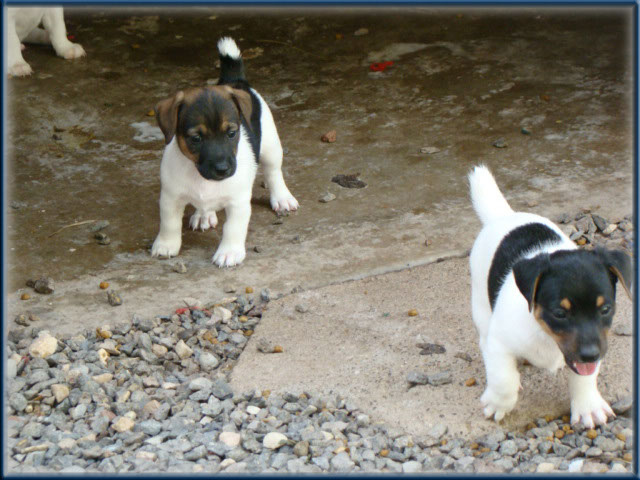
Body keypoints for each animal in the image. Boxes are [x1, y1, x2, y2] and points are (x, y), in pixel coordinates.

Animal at [151, 37, 298, 268]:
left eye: (231, 133)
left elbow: (233, 229)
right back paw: (204, 214)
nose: (222, 169)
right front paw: (166, 244)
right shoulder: (170, 197)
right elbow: (169, 223)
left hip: (271, 146)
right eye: (196, 138)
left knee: (274, 172)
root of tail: (235, 80)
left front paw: (229, 252)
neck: (201, 177)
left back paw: (282, 197)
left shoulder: (238, 202)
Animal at [468, 165, 632, 428]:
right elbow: (503, 378)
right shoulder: (500, 342)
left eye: (605, 309)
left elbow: (584, 376)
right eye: (559, 313)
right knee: (484, 336)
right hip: (481, 303)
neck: (544, 333)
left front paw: (588, 406)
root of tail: (504, 216)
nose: (591, 354)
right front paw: (498, 403)